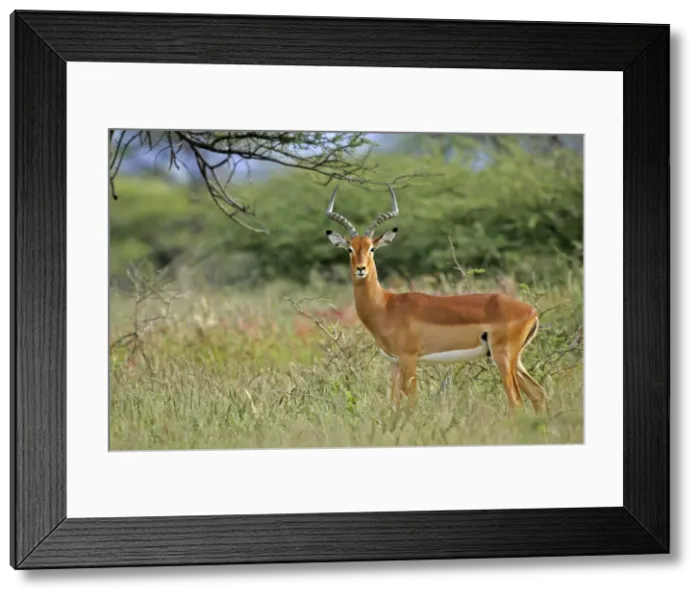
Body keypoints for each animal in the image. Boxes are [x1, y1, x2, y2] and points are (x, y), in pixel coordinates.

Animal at [324, 183, 549, 415]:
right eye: (350, 248)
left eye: (372, 248)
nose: (361, 269)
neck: (385, 305)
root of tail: (532, 312)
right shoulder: (393, 362)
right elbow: (394, 405)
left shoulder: (409, 359)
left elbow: (411, 403)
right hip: (516, 360)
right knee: (538, 393)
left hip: (503, 358)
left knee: (517, 402)